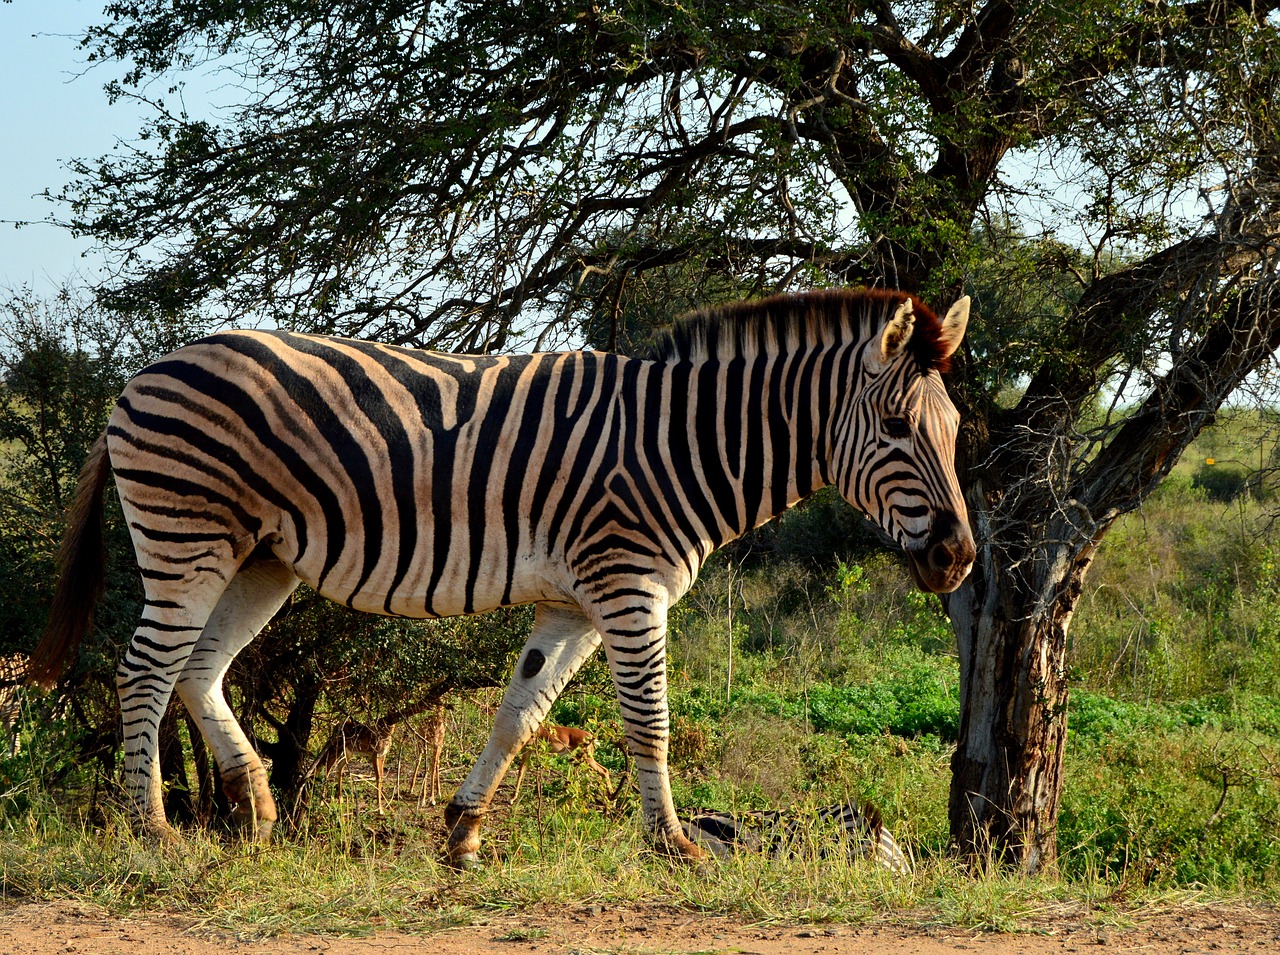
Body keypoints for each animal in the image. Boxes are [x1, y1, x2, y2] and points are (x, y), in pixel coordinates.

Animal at [27, 286, 967, 860]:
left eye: (955, 428)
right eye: (893, 427)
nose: (958, 556)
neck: (680, 444)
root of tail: (137, 378)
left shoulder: (575, 601)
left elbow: (521, 713)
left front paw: (463, 833)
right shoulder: (629, 583)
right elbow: (651, 723)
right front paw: (673, 845)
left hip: (260, 556)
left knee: (198, 668)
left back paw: (253, 807)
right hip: (187, 535)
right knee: (144, 670)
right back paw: (150, 827)